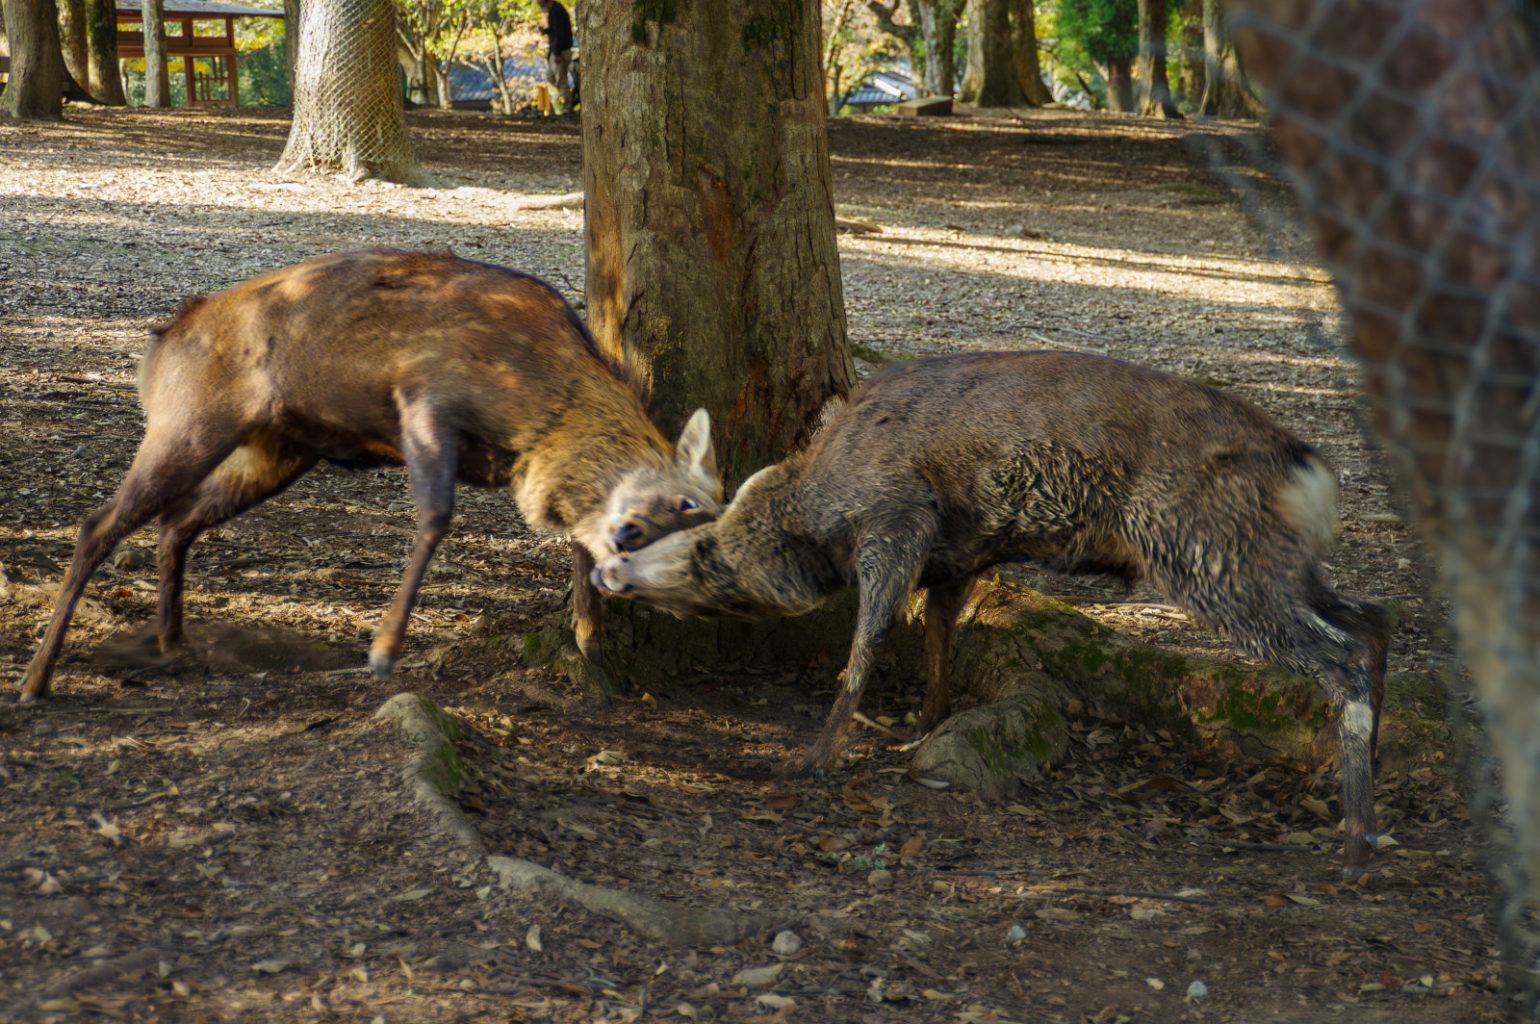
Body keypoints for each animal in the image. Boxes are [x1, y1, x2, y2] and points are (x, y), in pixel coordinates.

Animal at [19, 246, 720, 702]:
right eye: (680, 507)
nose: (631, 556)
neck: (535, 407)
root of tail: (158, 343)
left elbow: (571, 536)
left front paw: (589, 637)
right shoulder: (425, 400)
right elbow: (437, 515)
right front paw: (382, 651)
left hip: (276, 452)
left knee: (175, 521)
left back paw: (172, 646)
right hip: (190, 422)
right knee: (99, 522)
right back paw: (36, 680)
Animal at [591, 351, 1398, 880]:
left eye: (703, 556)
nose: (607, 567)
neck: (816, 512)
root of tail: (1312, 474)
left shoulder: (899, 521)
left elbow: (867, 643)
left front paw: (818, 755)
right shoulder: (960, 555)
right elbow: (939, 634)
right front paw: (922, 728)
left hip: (1207, 553)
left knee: (1339, 655)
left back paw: (1357, 843)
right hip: (1276, 562)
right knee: (1373, 618)